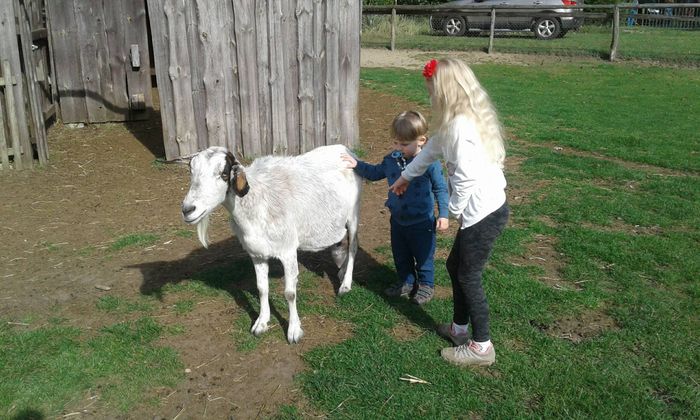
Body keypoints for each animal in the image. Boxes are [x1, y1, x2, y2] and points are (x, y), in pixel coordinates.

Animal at [180, 144, 360, 342]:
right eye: (191, 171)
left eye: (224, 174)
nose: (187, 210)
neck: (256, 201)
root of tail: (343, 149)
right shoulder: (257, 254)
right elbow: (261, 288)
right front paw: (261, 322)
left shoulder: (288, 251)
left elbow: (290, 293)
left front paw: (294, 330)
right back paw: (341, 271)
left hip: (353, 214)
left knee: (353, 247)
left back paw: (345, 284)